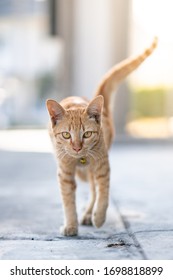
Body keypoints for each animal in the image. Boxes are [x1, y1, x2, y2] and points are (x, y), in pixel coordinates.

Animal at [46, 38, 157, 236]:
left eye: (87, 134)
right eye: (66, 135)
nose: (76, 147)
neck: (81, 159)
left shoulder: (102, 165)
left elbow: (103, 193)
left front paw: (98, 217)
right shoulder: (64, 172)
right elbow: (68, 200)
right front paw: (71, 225)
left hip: (91, 172)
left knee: (94, 191)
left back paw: (90, 214)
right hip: (80, 173)